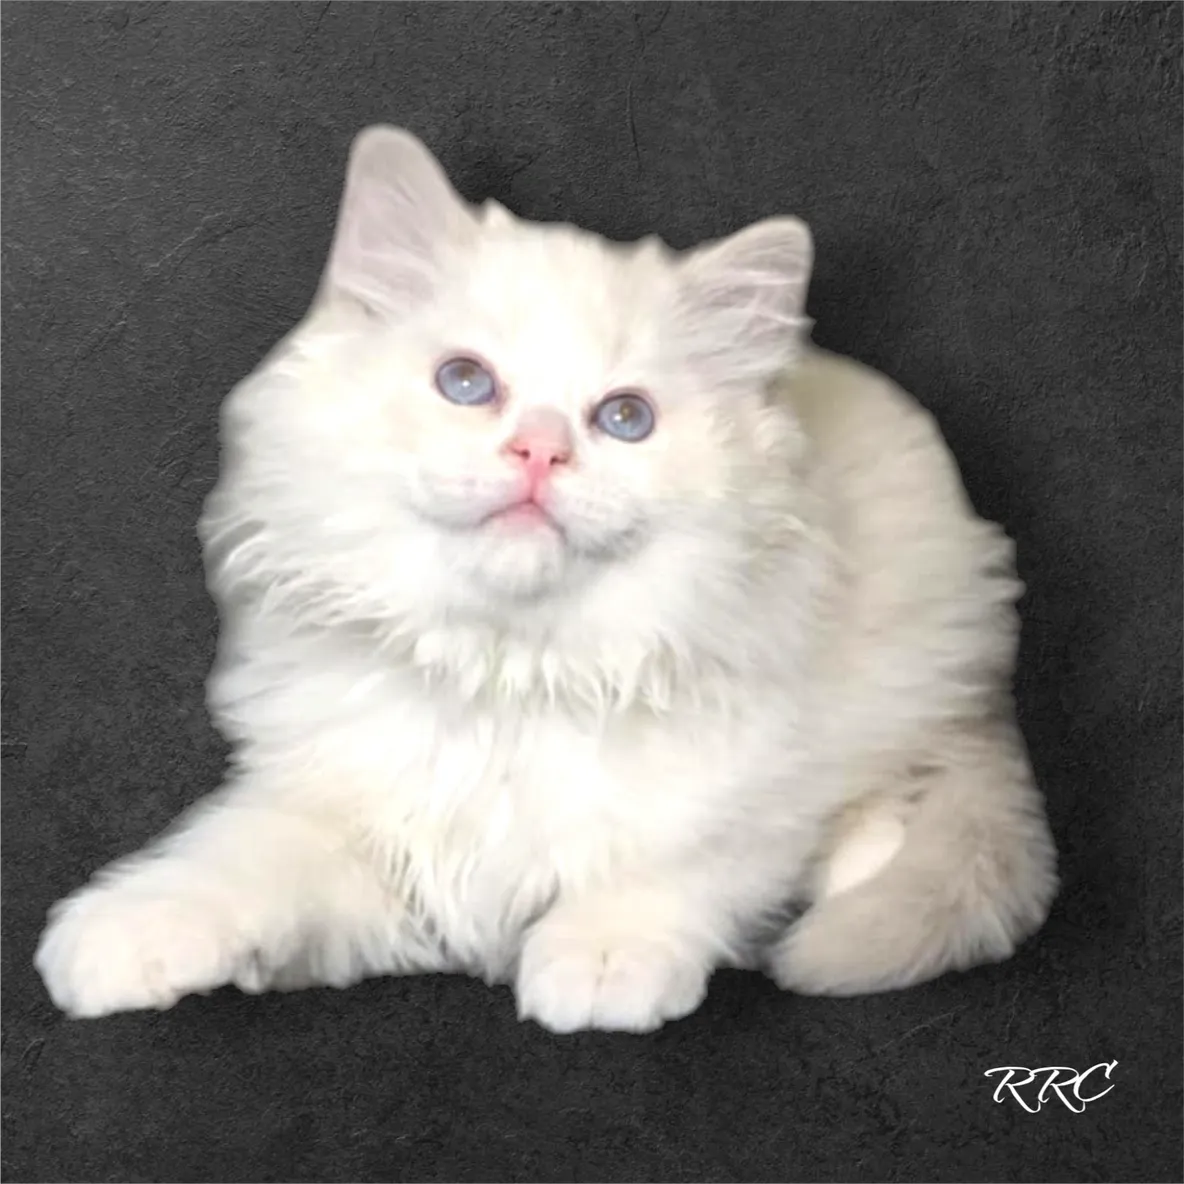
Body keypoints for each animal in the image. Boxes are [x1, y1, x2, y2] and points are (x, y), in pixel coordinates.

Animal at [34, 129, 1056, 1032]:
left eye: (626, 418)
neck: (509, 671)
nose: (539, 451)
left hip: (929, 656)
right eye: (466, 382)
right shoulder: (362, 837)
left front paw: (602, 954)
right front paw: (126, 932)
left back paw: (862, 867)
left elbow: (681, 854)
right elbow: (239, 856)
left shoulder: (756, 775)